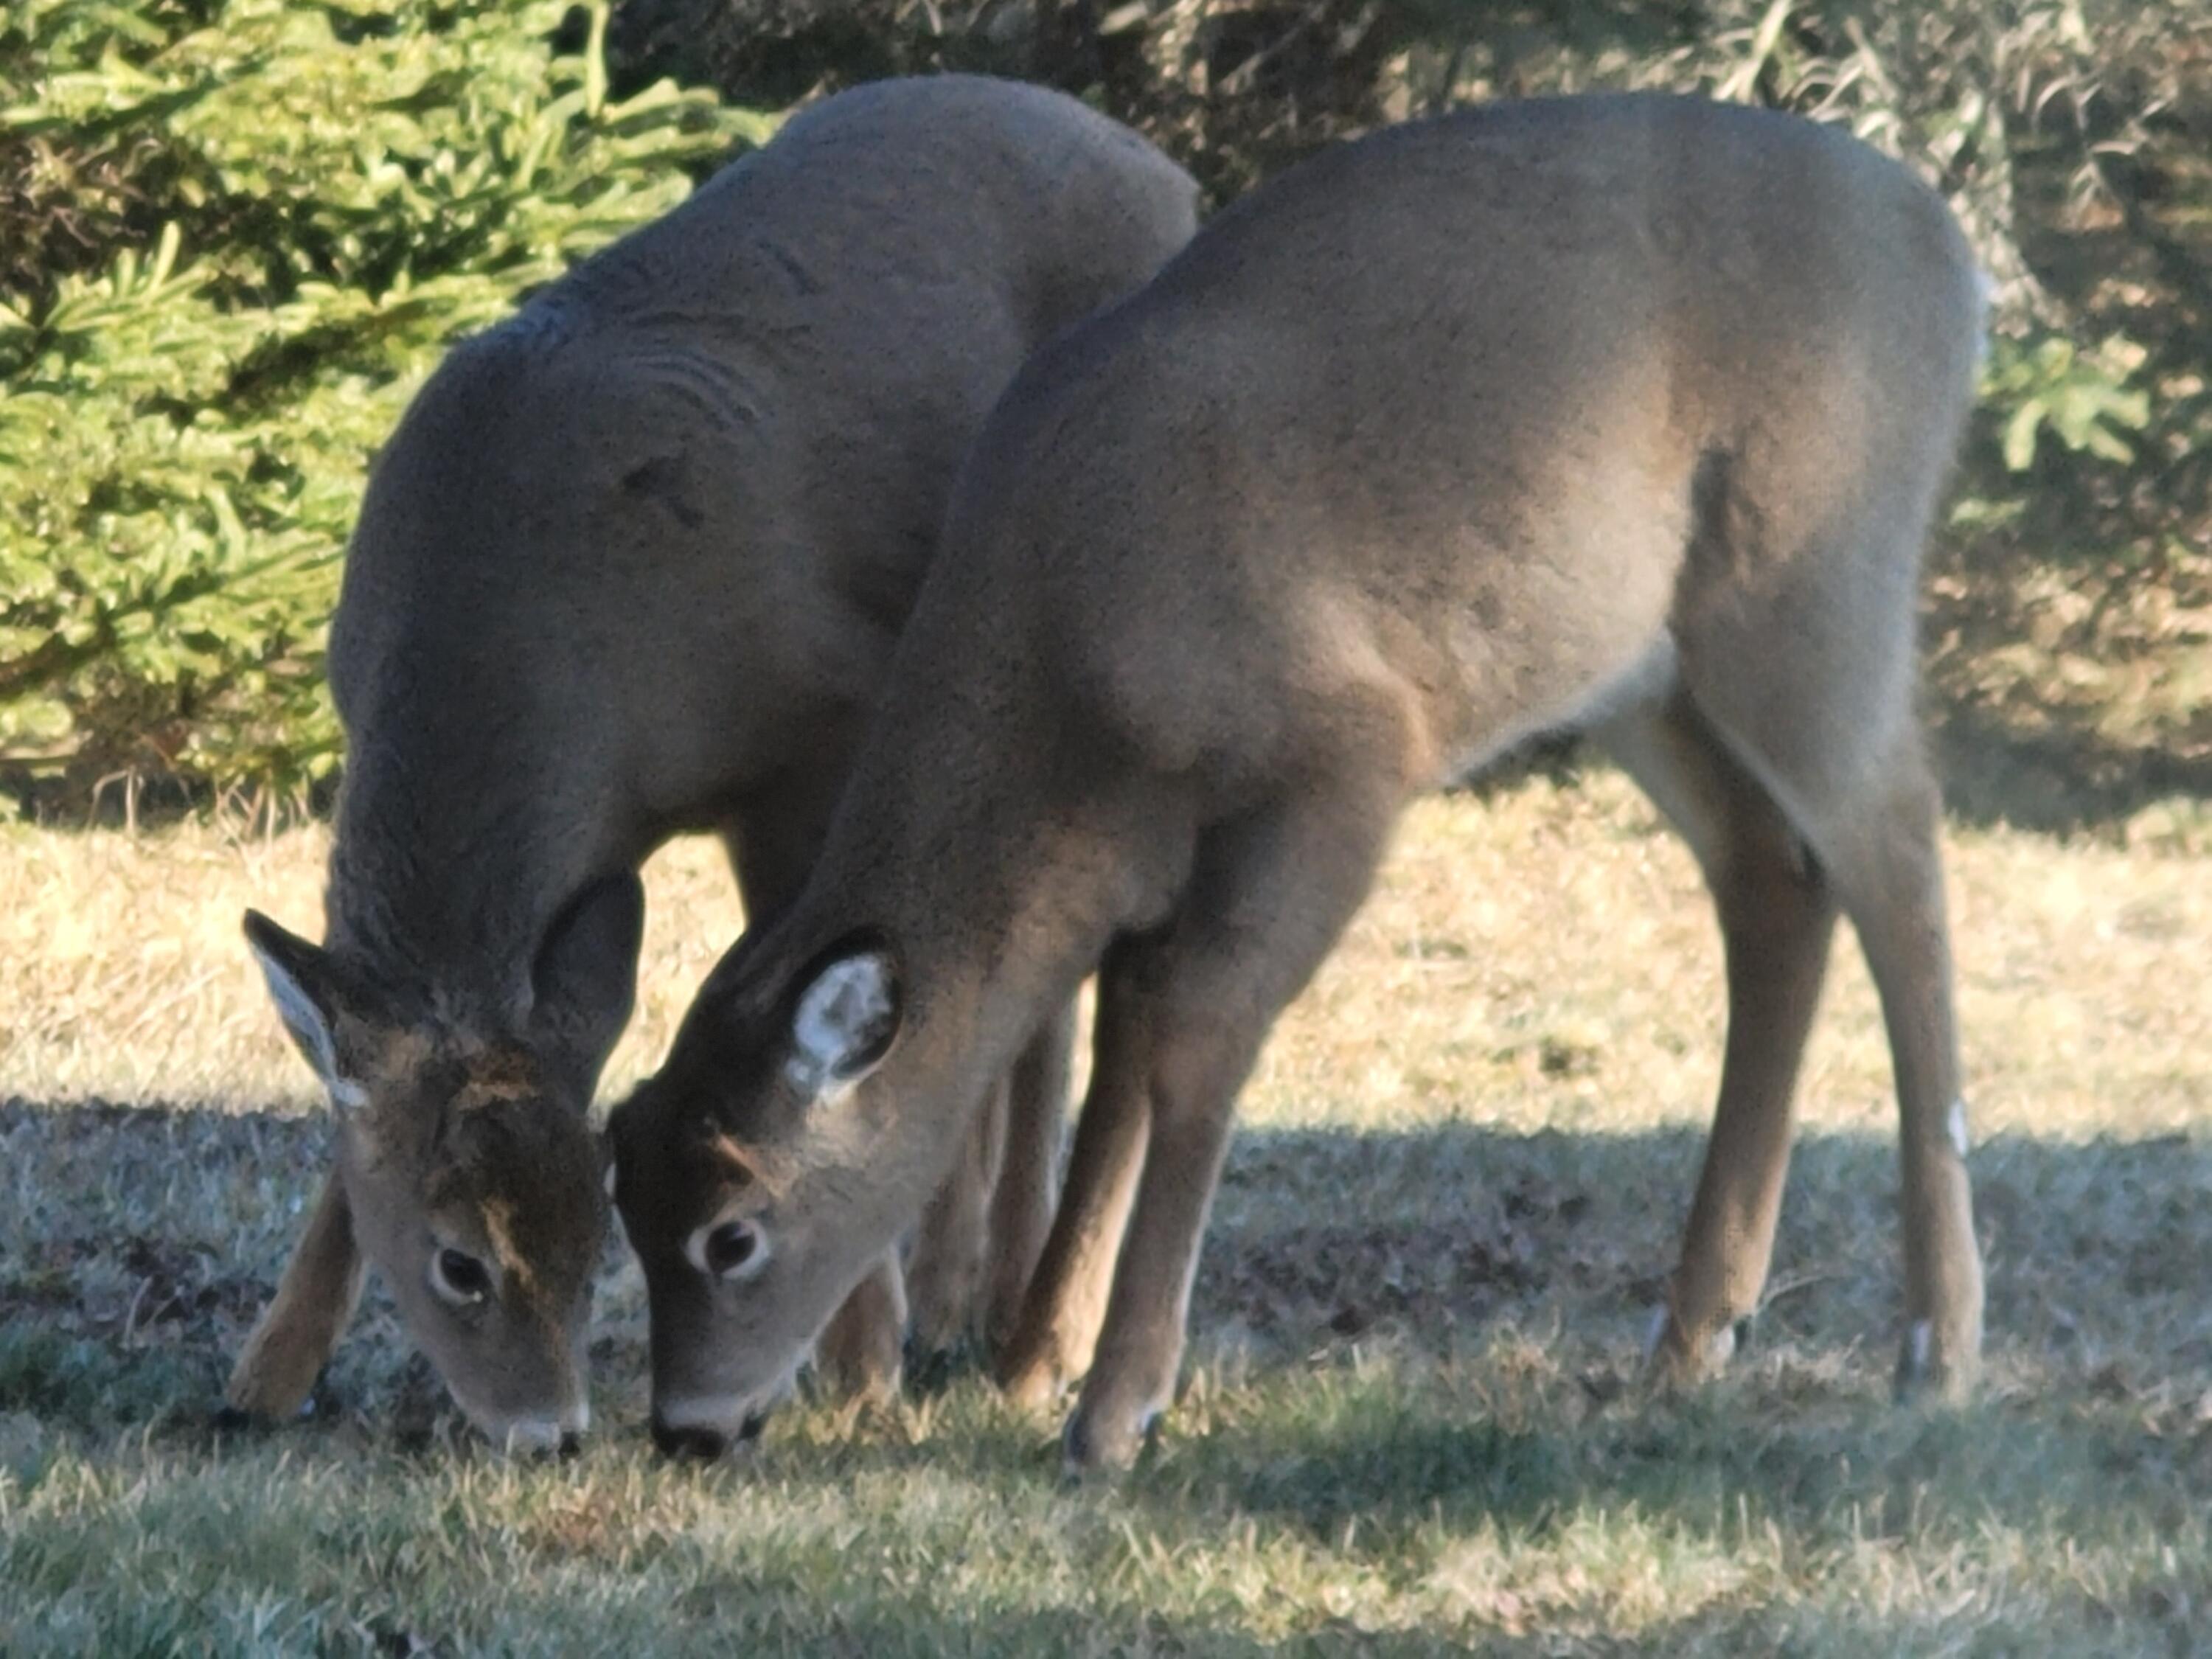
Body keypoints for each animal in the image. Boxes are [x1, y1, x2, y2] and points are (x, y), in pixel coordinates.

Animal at [225, 75, 1199, 1455]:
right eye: (459, 1260)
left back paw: (1015, 1322)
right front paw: (267, 1369)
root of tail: (1170, 175)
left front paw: (856, 1360)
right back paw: (964, 1292)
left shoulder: (814, 730)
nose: (550, 1431)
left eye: (590, 1251)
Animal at [605, 90, 1992, 1469]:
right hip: (1643, 674)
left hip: (1812, 578)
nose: (688, 1426)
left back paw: (1937, 1342)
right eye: (624, 1182)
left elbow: (1196, 1036)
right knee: (1775, 882)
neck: (1072, 654)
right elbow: (1127, 1040)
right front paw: (1037, 1358)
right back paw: (1701, 1330)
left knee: (1903, 858)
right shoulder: (1149, 856)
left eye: (735, 1229)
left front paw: (1114, 1407)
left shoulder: (1343, 763)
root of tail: (1950, 255)